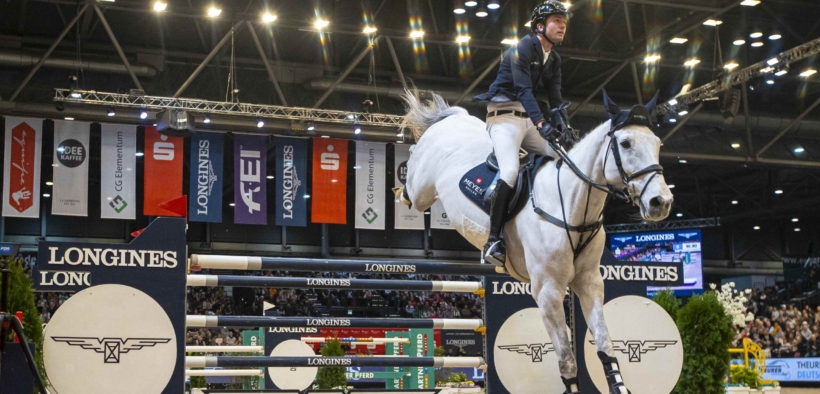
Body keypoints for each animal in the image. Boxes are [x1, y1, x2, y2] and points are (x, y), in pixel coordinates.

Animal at [398, 91, 672, 394]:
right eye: (625, 143)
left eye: (657, 143)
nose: (661, 202)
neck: (574, 204)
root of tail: (452, 118)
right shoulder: (548, 291)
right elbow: (566, 359)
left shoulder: (589, 283)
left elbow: (604, 343)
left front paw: (619, 385)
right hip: (423, 189)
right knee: (412, 172)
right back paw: (401, 187)